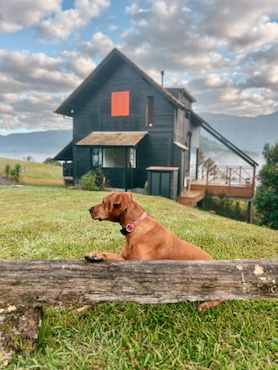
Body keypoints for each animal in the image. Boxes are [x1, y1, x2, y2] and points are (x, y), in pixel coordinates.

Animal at [77, 192, 222, 314]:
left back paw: (206, 305)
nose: (89, 209)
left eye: (103, 202)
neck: (134, 226)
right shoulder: (125, 258)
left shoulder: (138, 265)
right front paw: (96, 255)